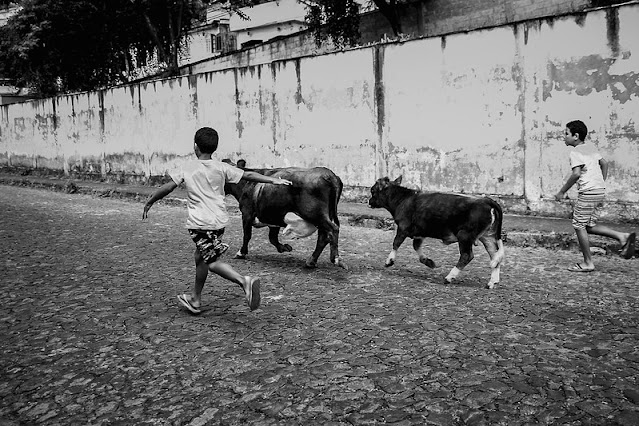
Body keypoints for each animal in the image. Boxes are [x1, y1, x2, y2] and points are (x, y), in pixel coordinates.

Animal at [370, 175, 504, 288]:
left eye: (372, 190)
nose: (369, 201)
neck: (403, 199)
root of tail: (486, 200)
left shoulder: (403, 227)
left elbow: (396, 243)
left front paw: (389, 261)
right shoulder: (419, 233)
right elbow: (416, 246)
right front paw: (429, 262)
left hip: (465, 236)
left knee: (467, 255)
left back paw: (449, 277)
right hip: (488, 237)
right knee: (495, 256)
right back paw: (492, 282)